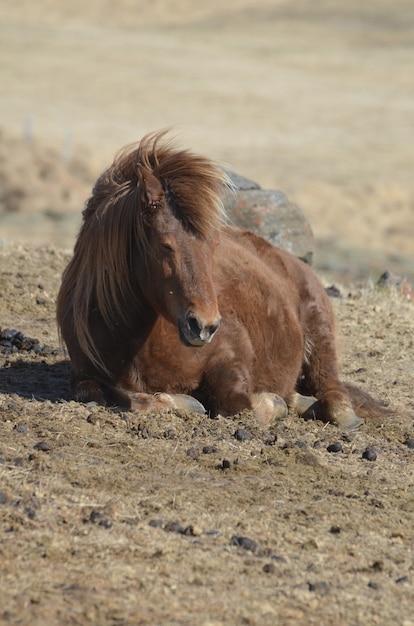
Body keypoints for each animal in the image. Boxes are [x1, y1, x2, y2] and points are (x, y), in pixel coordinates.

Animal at [57, 129, 384, 426]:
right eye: (166, 245)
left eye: (213, 244)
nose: (204, 326)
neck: (135, 341)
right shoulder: (83, 376)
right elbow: (103, 394)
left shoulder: (231, 356)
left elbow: (237, 404)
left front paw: (268, 402)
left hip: (319, 334)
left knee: (331, 387)